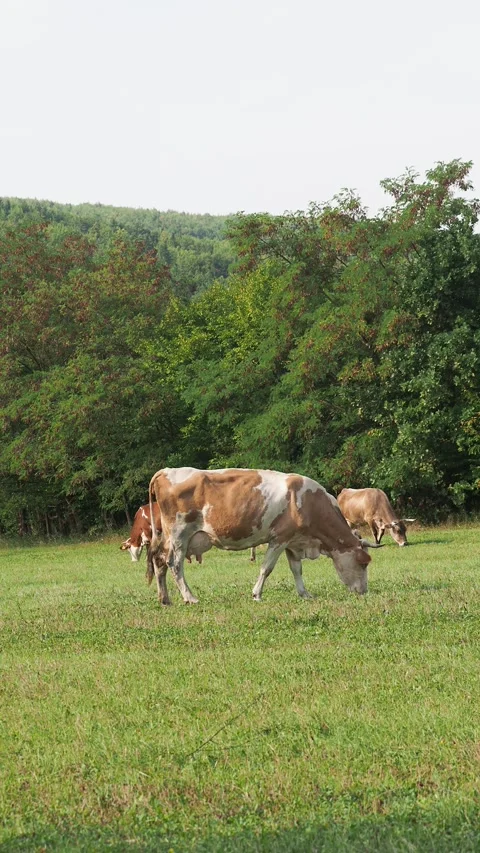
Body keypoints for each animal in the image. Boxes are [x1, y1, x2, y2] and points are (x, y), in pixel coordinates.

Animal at [147, 467, 381, 605]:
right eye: (363, 562)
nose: (364, 591)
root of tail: (166, 471)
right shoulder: (279, 538)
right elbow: (266, 568)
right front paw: (257, 594)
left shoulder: (293, 541)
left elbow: (297, 569)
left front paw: (304, 593)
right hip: (179, 535)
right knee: (174, 564)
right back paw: (190, 597)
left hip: (169, 538)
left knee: (159, 560)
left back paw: (165, 599)